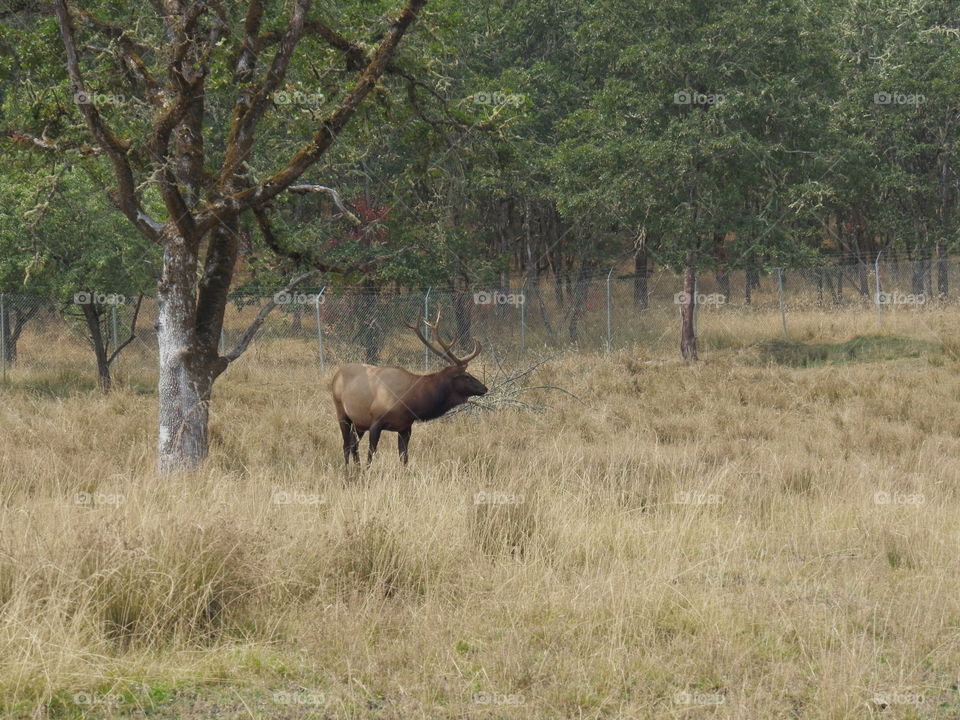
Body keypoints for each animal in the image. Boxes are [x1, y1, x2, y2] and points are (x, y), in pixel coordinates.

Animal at [334, 312, 492, 464]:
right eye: (466, 375)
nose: (485, 388)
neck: (410, 402)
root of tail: (336, 375)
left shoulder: (405, 427)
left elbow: (404, 458)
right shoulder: (376, 422)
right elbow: (370, 455)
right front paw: (367, 471)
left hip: (358, 423)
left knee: (353, 445)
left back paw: (356, 468)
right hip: (342, 413)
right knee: (346, 445)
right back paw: (348, 469)